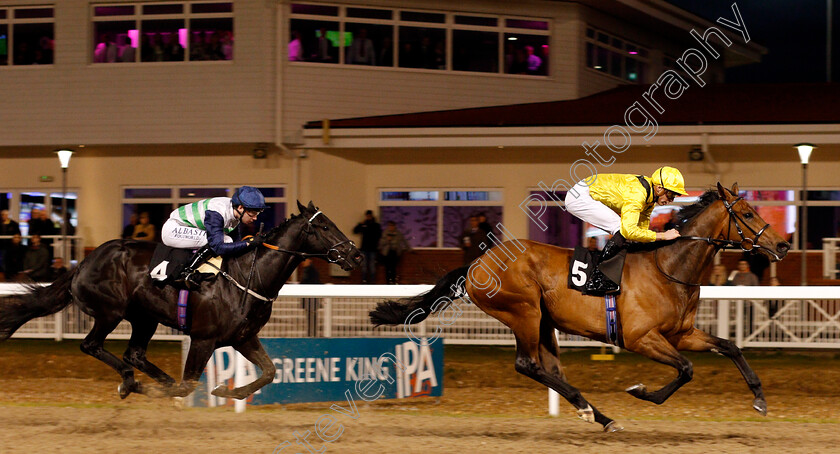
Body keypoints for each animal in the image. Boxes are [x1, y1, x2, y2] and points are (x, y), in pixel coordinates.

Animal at [0, 200, 360, 400]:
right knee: (92, 346)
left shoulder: (243, 337)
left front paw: (227, 390)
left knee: (134, 354)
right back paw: (130, 383)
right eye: (323, 226)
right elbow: (188, 384)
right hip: (110, 311)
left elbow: (270, 372)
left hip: (144, 317)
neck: (247, 276)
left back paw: (150, 382)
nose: (355, 255)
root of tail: (82, 263)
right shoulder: (204, 338)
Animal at [370, 183, 792, 430]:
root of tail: (478, 262)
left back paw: (595, 412)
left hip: (542, 320)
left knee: (549, 368)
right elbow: (686, 369)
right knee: (527, 364)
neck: (669, 267)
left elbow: (730, 346)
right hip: (523, 312)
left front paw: (759, 399)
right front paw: (642, 392)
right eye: (748, 214)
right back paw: (594, 412)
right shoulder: (641, 338)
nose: (784, 244)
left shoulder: (681, 334)